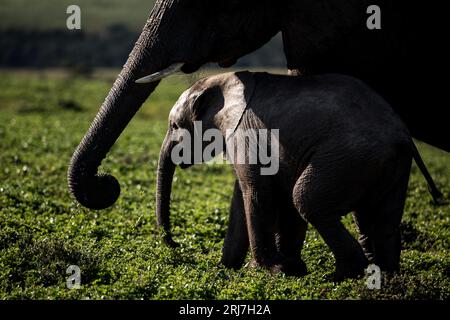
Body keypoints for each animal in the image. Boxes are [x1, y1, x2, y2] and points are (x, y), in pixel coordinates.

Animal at [155, 71, 412, 282]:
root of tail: (401, 136)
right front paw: (227, 269)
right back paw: (386, 276)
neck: (222, 81)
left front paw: (267, 270)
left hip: (350, 158)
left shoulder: (244, 134)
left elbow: (255, 192)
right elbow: (240, 197)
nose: (175, 243)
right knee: (382, 220)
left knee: (306, 200)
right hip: (390, 168)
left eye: (174, 126)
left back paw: (340, 276)